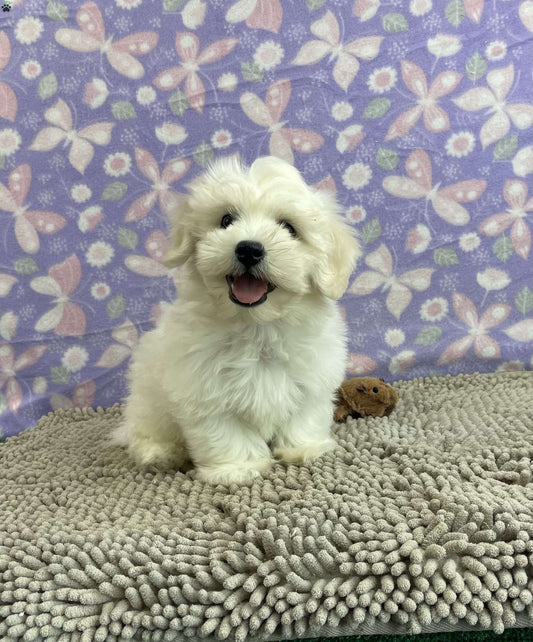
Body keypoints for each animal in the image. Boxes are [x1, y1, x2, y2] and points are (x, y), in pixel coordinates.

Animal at [114, 155, 360, 482]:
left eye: (289, 227)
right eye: (226, 220)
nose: (248, 248)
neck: (258, 326)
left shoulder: (313, 379)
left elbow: (304, 415)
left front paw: (304, 449)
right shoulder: (204, 391)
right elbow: (227, 433)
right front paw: (238, 468)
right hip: (147, 401)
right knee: (143, 431)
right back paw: (160, 453)